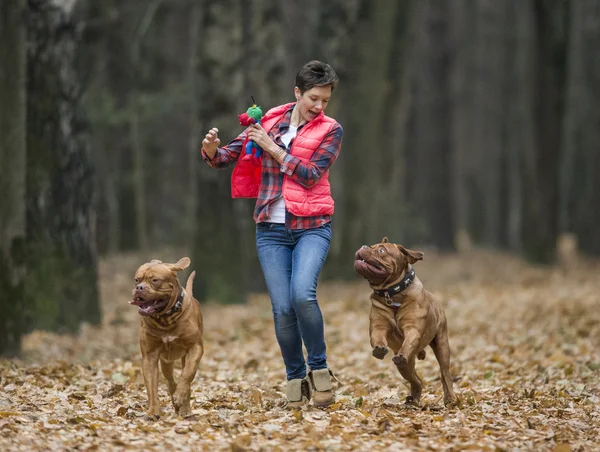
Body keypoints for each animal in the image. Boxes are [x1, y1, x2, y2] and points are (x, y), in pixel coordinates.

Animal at [129, 256, 204, 418]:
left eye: (155, 280)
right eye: (137, 280)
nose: (139, 288)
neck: (165, 319)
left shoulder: (195, 347)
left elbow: (187, 373)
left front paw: (180, 395)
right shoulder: (150, 356)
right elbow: (151, 387)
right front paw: (153, 411)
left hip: (184, 356)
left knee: (186, 378)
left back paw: (184, 407)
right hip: (166, 361)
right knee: (170, 380)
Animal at [354, 240, 458, 406]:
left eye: (381, 250)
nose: (364, 246)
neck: (392, 293)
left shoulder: (412, 328)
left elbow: (408, 342)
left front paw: (402, 353)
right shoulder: (378, 326)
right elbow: (377, 337)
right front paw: (379, 349)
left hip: (442, 346)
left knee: (445, 374)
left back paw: (451, 399)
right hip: (405, 368)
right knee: (416, 380)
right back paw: (413, 399)